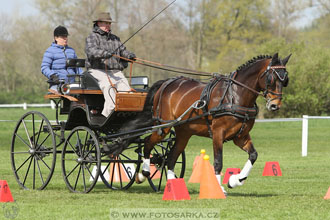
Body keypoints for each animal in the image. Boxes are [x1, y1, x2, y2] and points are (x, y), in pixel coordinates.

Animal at [114, 52, 290, 192]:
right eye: (271, 78)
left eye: (285, 80)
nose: (275, 105)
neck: (235, 95)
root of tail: (167, 83)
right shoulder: (218, 133)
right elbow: (218, 162)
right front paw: (219, 189)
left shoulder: (240, 136)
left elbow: (253, 155)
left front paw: (236, 180)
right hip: (163, 127)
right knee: (147, 144)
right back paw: (143, 174)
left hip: (183, 133)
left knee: (170, 157)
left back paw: (172, 186)